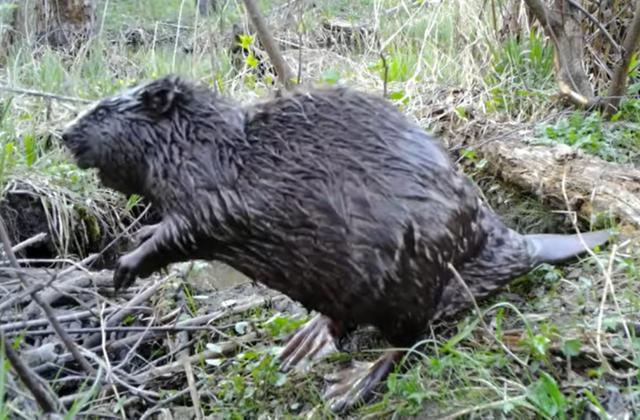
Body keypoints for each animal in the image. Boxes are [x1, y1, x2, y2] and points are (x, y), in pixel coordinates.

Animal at [62, 75, 612, 414]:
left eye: (103, 109)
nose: (64, 135)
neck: (209, 145)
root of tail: (513, 242)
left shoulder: (220, 193)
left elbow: (190, 228)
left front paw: (125, 266)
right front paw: (132, 241)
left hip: (407, 280)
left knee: (408, 340)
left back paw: (350, 385)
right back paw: (301, 347)